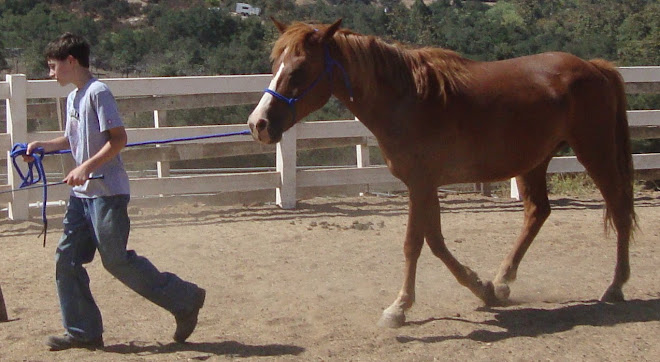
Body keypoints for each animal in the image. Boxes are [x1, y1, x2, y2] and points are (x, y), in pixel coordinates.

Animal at [246, 19, 636, 328]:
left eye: (299, 69)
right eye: (275, 63)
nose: (258, 124)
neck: (408, 100)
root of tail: (594, 67)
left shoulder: (420, 184)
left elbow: (414, 244)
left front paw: (399, 308)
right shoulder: (425, 185)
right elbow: (434, 241)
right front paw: (483, 289)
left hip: (595, 152)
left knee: (618, 209)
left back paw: (615, 286)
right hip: (534, 162)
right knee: (538, 212)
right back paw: (503, 280)